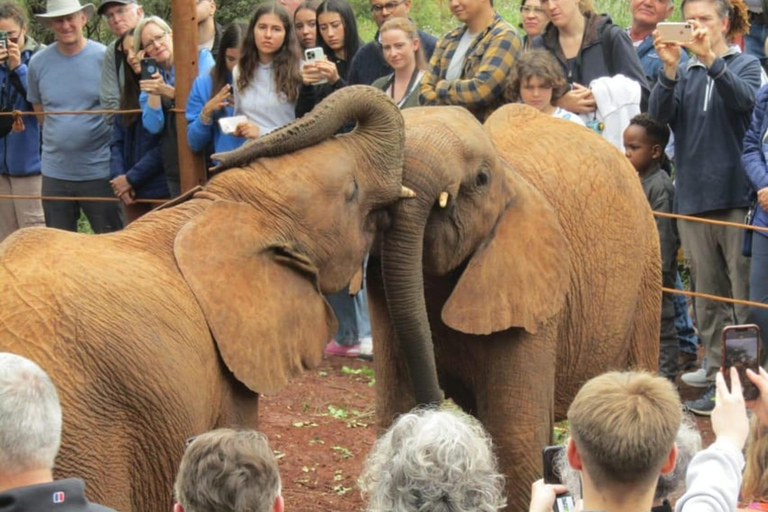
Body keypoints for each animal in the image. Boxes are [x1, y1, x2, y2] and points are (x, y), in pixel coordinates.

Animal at [366, 104, 660, 512]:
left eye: (481, 179)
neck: (509, 175)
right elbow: (396, 407)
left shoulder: (533, 295)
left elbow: (516, 439)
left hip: (649, 264)